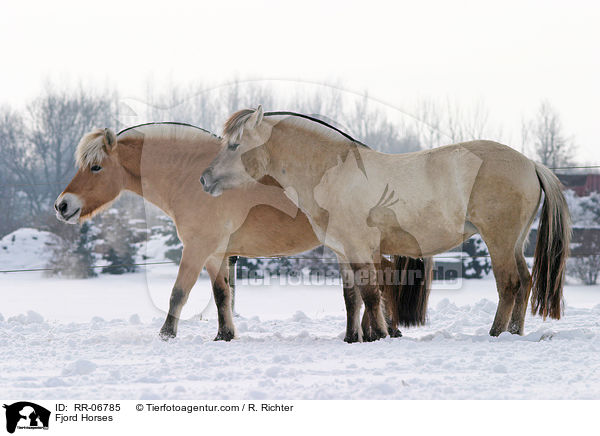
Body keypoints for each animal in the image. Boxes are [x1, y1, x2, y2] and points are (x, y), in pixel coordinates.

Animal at [202, 107, 572, 342]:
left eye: (234, 145)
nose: (204, 179)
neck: (335, 173)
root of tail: (530, 163)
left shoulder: (361, 248)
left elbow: (370, 293)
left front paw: (378, 334)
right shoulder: (343, 251)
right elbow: (351, 297)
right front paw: (352, 337)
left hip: (498, 240)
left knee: (509, 284)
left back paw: (496, 333)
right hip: (515, 243)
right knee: (525, 281)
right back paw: (514, 332)